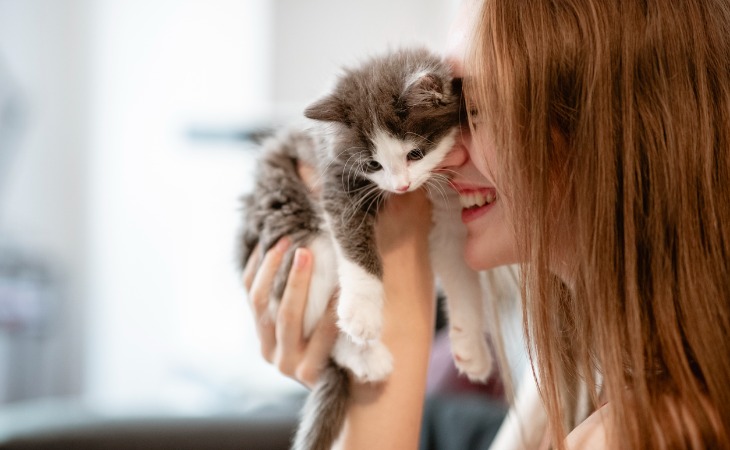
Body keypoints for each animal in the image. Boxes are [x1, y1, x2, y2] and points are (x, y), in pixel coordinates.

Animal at [236, 46, 492, 450]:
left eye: (415, 154)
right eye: (373, 163)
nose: (401, 186)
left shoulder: (451, 215)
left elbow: (460, 271)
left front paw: (472, 348)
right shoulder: (333, 174)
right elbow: (351, 236)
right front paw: (362, 310)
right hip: (292, 226)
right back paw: (365, 356)